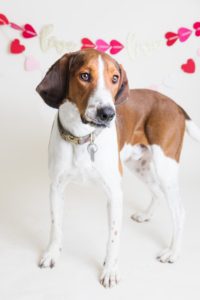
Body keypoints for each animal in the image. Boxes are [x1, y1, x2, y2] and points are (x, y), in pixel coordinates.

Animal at [36, 48, 200, 288]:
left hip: (165, 169)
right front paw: (52, 254)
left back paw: (173, 251)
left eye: (114, 79)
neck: (83, 137)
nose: (107, 113)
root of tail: (175, 105)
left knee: (179, 211)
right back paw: (146, 215)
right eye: (85, 76)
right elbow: (55, 226)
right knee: (156, 192)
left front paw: (110, 270)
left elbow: (113, 237)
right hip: (139, 166)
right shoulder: (56, 187)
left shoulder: (114, 193)